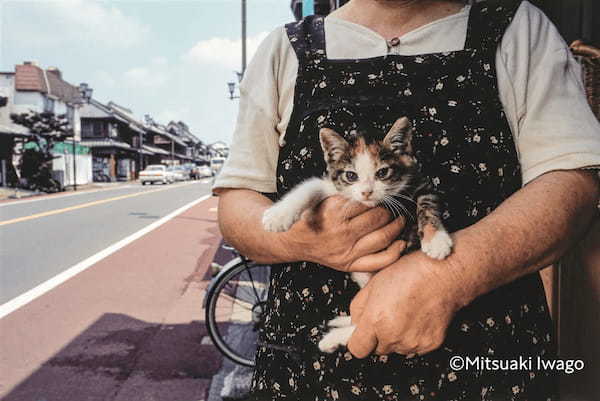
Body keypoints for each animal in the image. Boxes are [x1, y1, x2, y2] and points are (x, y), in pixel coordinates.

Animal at [260, 115, 452, 350]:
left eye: (382, 173)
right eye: (351, 175)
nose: (366, 192)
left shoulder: (420, 184)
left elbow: (428, 203)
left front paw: (437, 241)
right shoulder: (337, 190)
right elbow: (310, 186)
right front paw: (278, 215)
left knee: (370, 320)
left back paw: (333, 338)